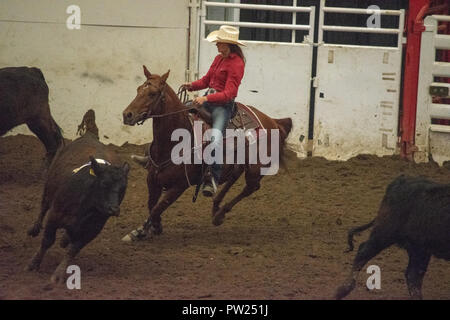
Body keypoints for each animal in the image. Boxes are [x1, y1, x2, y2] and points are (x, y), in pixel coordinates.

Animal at [25, 110, 129, 282]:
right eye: (104, 184)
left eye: (123, 189)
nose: (114, 209)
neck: (85, 205)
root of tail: (90, 135)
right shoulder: (54, 216)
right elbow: (47, 241)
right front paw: (33, 263)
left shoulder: (91, 231)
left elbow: (73, 250)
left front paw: (59, 274)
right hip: (49, 187)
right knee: (43, 206)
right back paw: (34, 228)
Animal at [122, 65, 292, 240]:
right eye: (138, 89)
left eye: (152, 93)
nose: (127, 115)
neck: (176, 141)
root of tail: (273, 122)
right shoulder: (152, 179)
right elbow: (151, 206)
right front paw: (147, 228)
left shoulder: (179, 185)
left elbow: (158, 208)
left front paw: (145, 229)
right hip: (239, 162)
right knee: (233, 177)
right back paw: (216, 206)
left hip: (256, 168)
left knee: (251, 187)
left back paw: (220, 214)